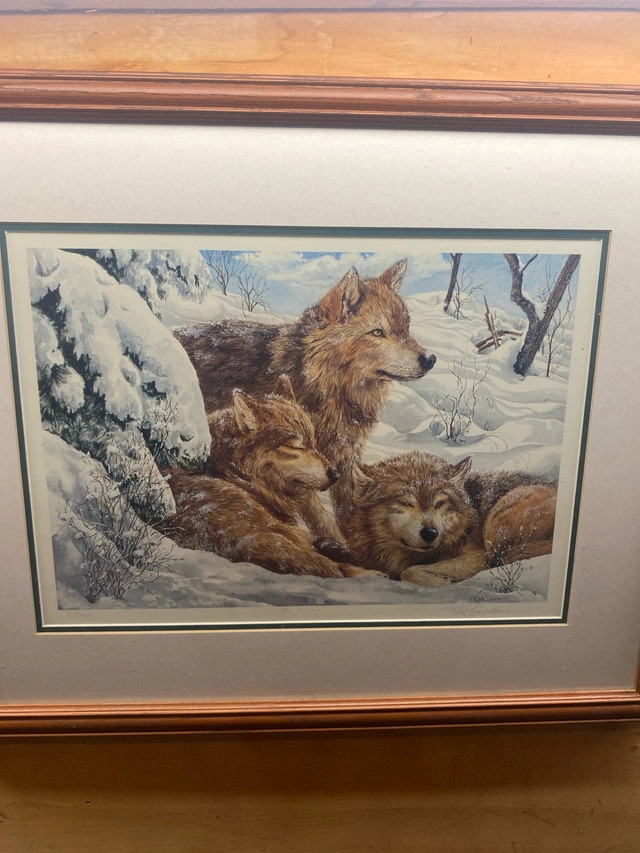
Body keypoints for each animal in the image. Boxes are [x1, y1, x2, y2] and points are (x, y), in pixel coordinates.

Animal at [175, 259, 436, 529]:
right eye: (377, 332)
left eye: (405, 329)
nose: (430, 359)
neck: (324, 386)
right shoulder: (302, 473)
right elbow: (324, 523)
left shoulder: (343, 463)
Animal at [347, 451, 557, 587]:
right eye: (406, 502)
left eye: (440, 503)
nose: (430, 533)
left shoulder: (476, 556)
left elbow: (409, 571)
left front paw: (441, 582)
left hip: (498, 520)